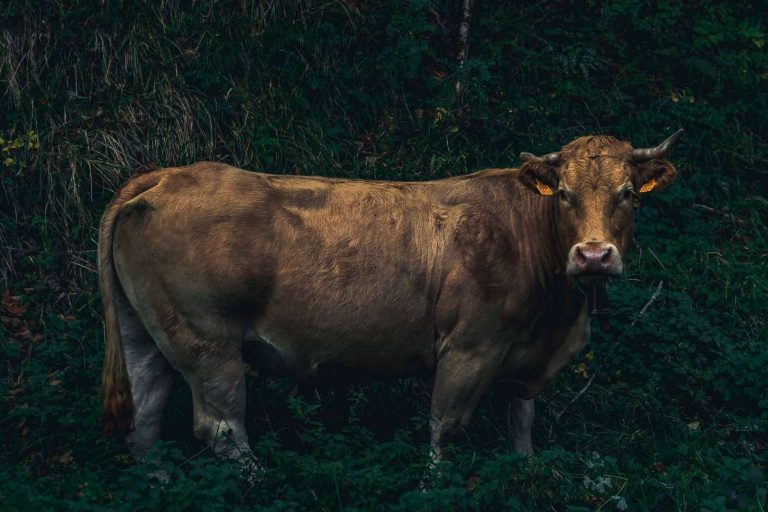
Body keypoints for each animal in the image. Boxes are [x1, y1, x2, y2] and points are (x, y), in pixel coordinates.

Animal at [99, 131, 680, 464]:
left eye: (627, 193)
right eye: (563, 194)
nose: (593, 255)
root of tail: (168, 174)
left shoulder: (526, 358)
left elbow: (522, 429)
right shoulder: (470, 349)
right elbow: (445, 431)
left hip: (148, 333)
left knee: (146, 418)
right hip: (208, 341)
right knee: (221, 428)